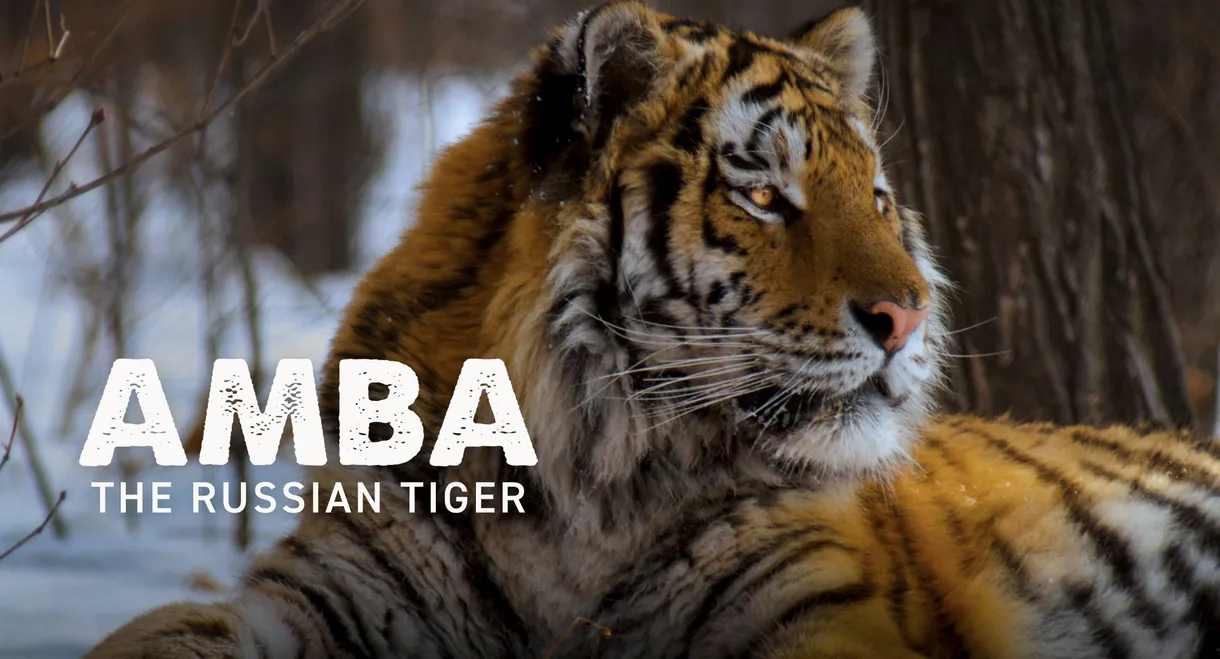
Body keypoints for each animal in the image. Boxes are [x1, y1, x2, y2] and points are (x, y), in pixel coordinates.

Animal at [85, 2, 1220, 658]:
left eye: (878, 196)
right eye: (765, 195)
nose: (911, 316)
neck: (580, 495)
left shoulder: (817, 609)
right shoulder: (336, 583)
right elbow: (166, 628)